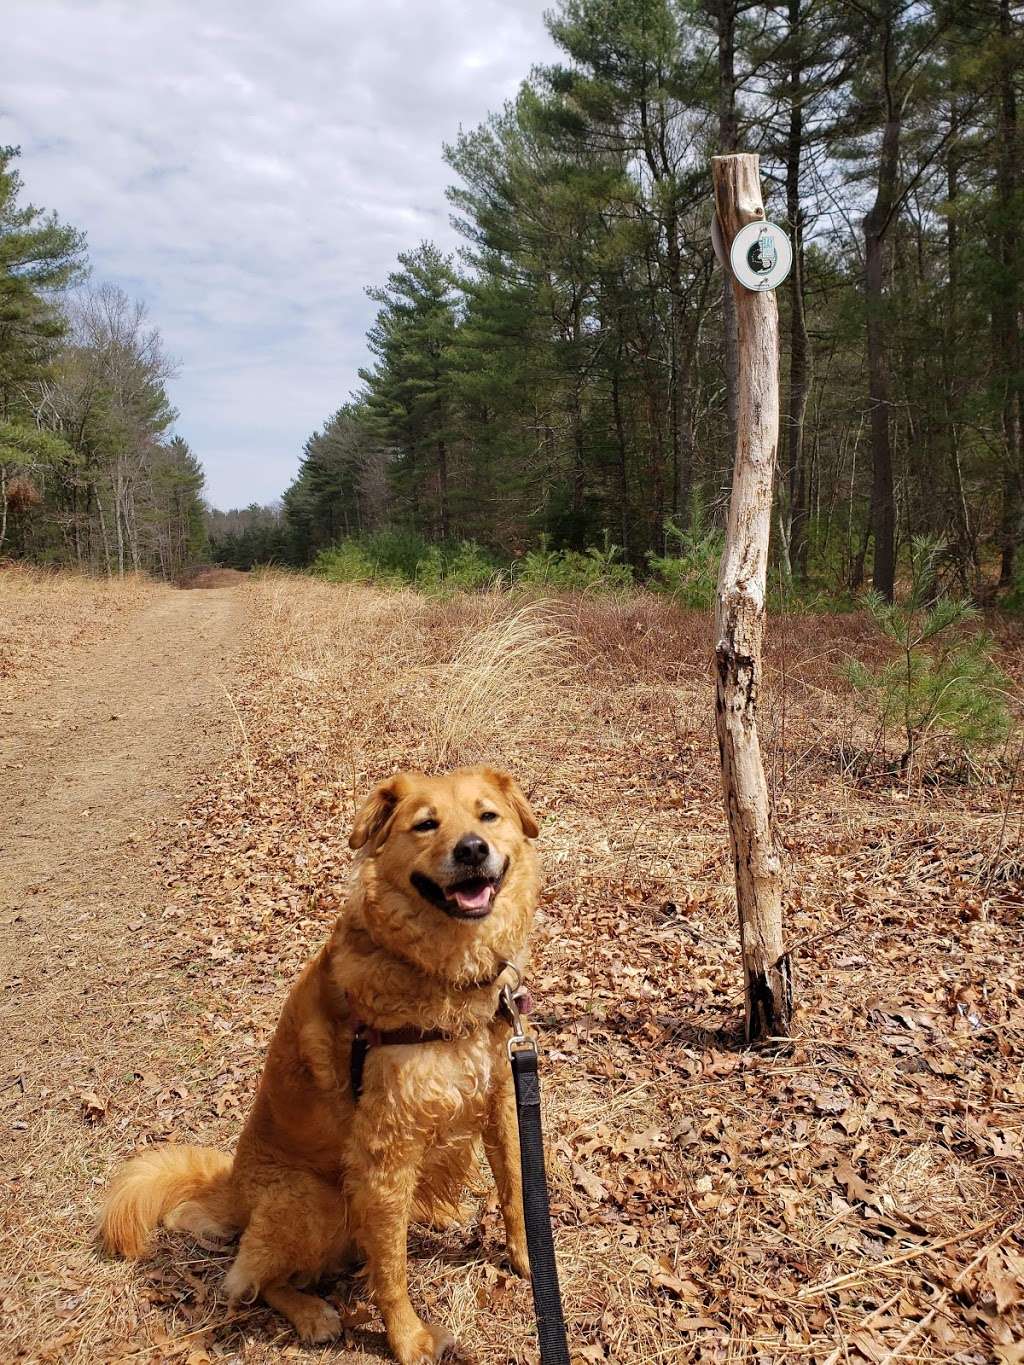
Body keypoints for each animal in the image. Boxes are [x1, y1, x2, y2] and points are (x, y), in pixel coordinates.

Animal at [100, 769, 540, 1365]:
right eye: (426, 824)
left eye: (488, 815)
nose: (472, 849)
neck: (442, 974)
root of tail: (233, 1191)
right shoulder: (384, 1150)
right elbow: (391, 1269)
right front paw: (408, 1338)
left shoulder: (501, 1097)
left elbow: (515, 1189)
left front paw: (526, 1258)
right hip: (318, 1199)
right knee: (252, 1281)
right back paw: (311, 1314)